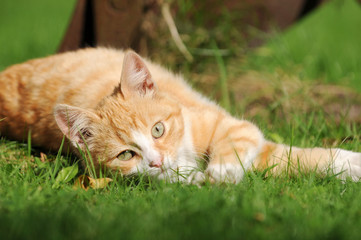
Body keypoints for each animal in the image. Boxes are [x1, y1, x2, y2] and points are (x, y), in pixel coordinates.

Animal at [0, 47, 360, 184]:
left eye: (158, 129)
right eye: (126, 154)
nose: (157, 160)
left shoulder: (235, 127)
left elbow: (292, 155)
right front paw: (200, 179)